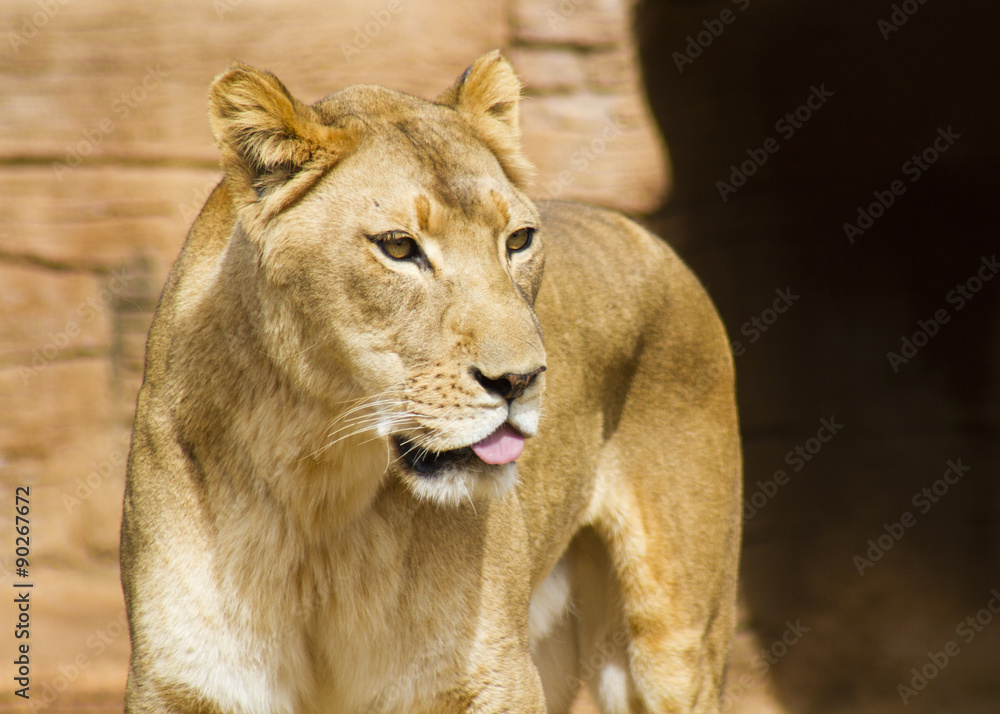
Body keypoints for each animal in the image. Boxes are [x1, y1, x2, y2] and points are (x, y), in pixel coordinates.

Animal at [119, 51, 742, 713]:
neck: (317, 487)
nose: (521, 379)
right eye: (399, 247)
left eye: (518, 239)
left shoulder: (491, 677)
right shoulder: (183, 681)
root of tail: (645, 235)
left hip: (674, 645)